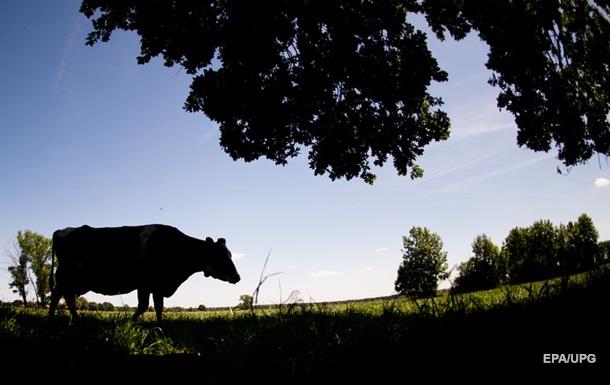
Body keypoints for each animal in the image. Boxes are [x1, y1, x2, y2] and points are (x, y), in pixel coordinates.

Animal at [48, 224, 240, 320]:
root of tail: (61, 231)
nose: (237, 277)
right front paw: (135, 322)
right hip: (67, 277)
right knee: (62, 297)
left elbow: (152, 306)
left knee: (64, 296)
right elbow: (149, 306)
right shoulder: (151, 284)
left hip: (74, 281)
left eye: (230, 254)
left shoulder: (152, 286)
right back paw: (63, 320)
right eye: (220, 256)